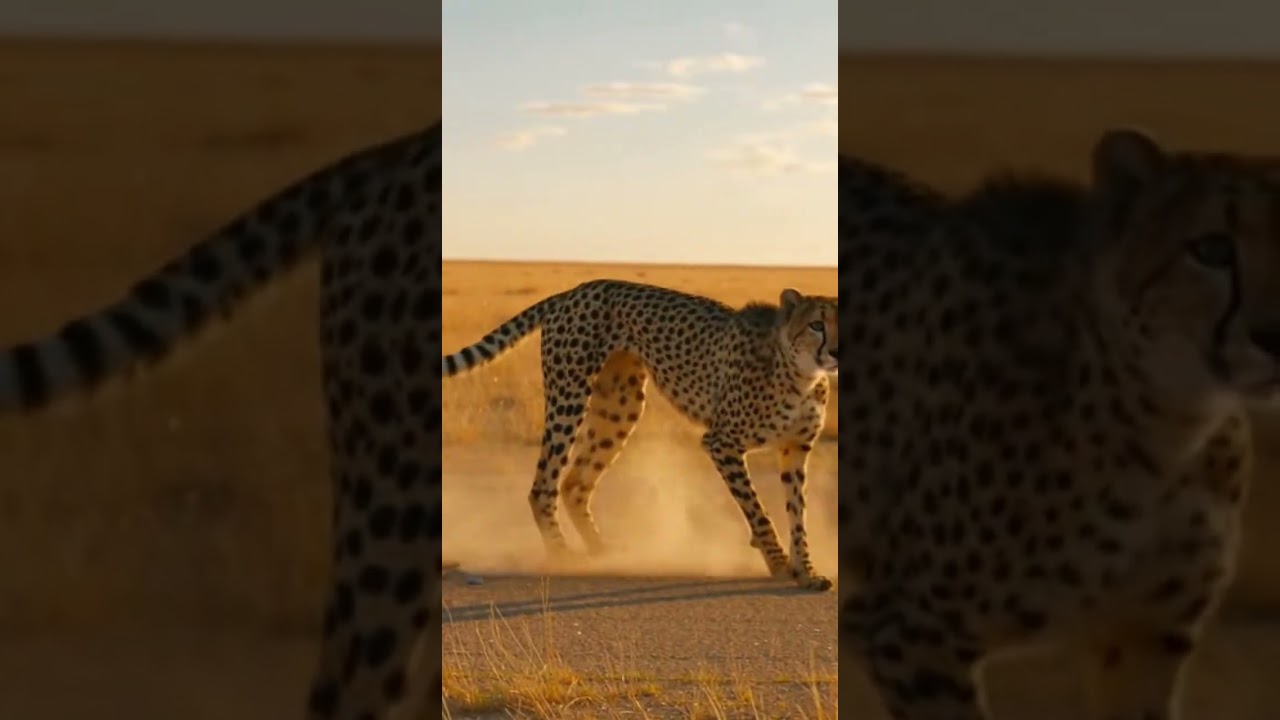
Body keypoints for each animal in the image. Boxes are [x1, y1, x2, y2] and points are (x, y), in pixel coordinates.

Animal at [443, 279, 838, 591]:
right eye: (817, 325)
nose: (835, 351)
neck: (801, 374)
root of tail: (577, 289)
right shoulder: (721, 442)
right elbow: (758, 510)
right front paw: (779, 562)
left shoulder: (795, 449)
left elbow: (796, 513)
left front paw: (807, 570)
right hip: (569, 396)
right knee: (544, 486)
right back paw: (564, 556)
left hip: (620, 407)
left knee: (574, 483)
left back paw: (602, 551)